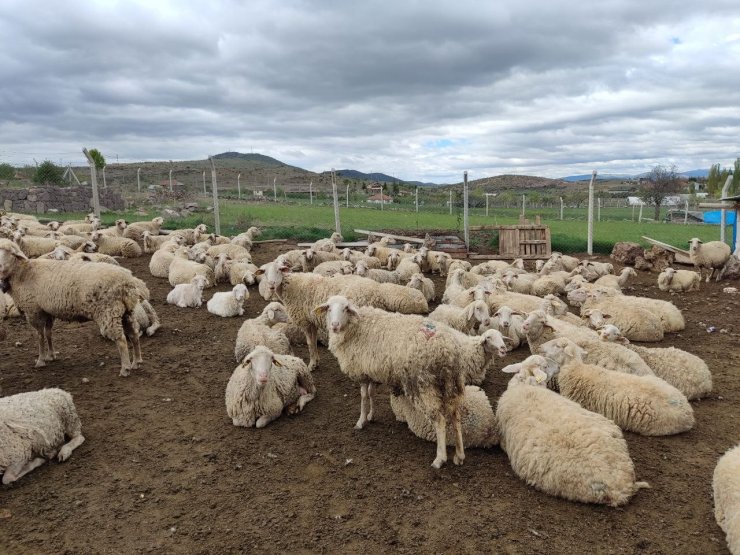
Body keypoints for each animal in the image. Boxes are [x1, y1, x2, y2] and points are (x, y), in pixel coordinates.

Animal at [316, 296, 512, 470]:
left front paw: (361, 421)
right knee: (455, 417)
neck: (355, 327)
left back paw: (440, 459)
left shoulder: (361, 372)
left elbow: (364, 397)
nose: (334, 325)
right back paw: (459, 456)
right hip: (451, 385)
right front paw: (371, 416)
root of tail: (449, 349)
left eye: (345, 308)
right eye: (329, 308)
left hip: (423, 385)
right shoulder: (371, 371)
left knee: (440, 419)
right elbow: (371, 394)